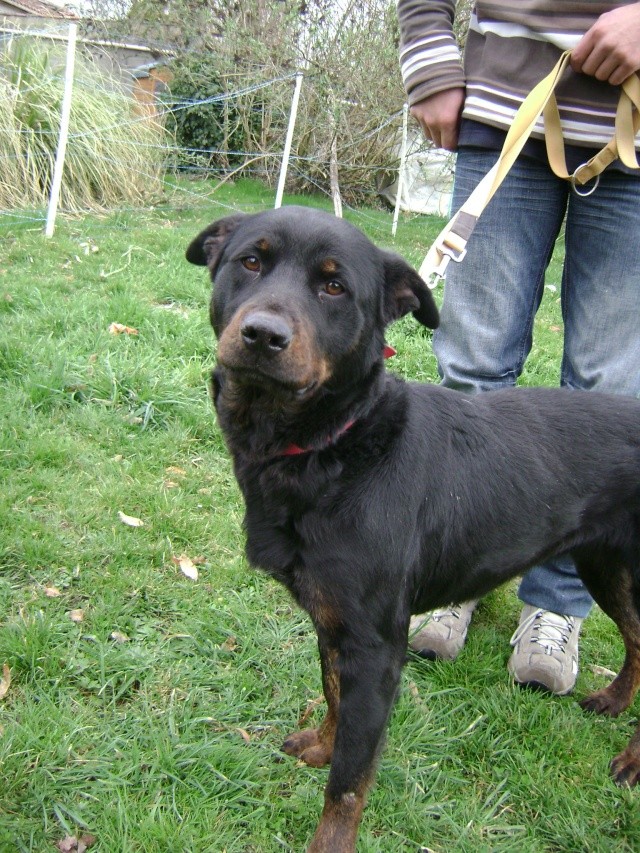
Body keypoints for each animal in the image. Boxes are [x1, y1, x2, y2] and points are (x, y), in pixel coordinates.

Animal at [185, 208, 640, 852]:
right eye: (250, 261)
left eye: (334, 287)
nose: (263, 336)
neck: (339, 445)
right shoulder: (336, 621)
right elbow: (333, 696)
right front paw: (320, 746)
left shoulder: (376, 647)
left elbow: (349, 784)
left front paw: (329, 837)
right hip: (605, 563)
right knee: (638, 640)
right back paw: (615, 701)